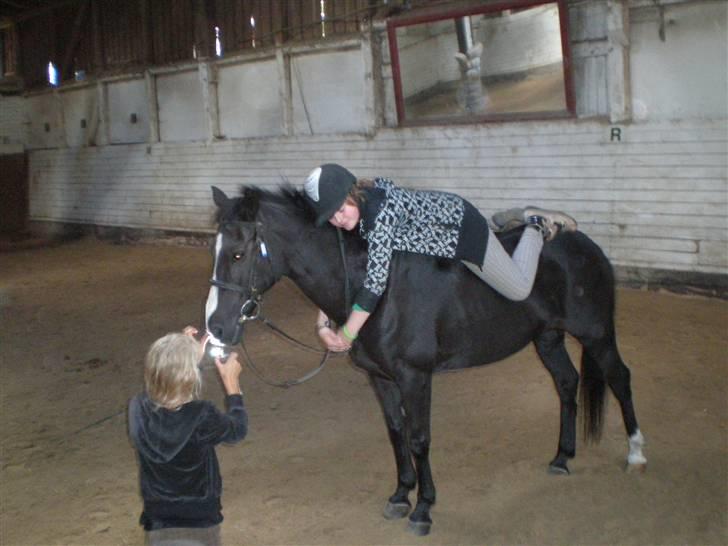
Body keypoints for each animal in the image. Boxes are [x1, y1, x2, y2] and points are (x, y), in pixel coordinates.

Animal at [205, 185, 648, 532]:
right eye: (216, 249)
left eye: (240, 253)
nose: (217, 327)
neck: (377, 285)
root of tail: (586, 247)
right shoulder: (381, 378)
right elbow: (396, 432)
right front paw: (401, 495)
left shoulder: (415, 377)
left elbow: (419, 438)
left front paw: (423, 508)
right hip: (549, 338)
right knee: (567, 383)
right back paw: (562, 457)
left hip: (596, 334)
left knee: (620, 378)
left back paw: (636, 454)